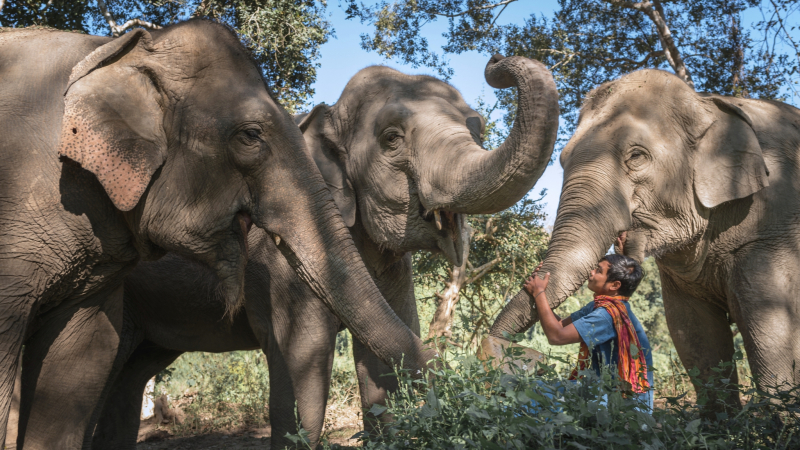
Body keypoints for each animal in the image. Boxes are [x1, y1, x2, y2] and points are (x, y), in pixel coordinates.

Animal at [45, 54, 559, 450]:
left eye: (478, 128)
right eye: (392, 139)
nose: (495, 63)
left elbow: (384, 360)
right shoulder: (280, 261)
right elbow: (302, 361)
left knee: (132, 372)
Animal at [489, 68, 800, 408]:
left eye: (636, 156)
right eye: (562, 158)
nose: (501, 350)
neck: (707, 104)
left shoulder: (771, 231)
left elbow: (770, 335)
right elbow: (693, 335)